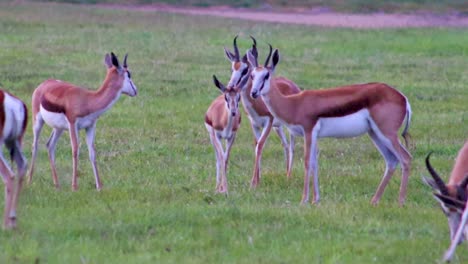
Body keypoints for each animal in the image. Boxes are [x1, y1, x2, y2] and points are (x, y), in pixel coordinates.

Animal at [27, 52, 137, 191]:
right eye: (129, 74)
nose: (135, 91)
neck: (88, 100)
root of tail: (44, 84)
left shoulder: (90, 127)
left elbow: (92, 153)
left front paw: (99, 186)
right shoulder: (73, 125)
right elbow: (75, 150)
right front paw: (74, 186)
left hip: (58, 128)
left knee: (50, 145)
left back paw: (57, 185)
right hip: (38, 122)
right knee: (35, 146)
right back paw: (29, 180)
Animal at [224, 35, 300, 188]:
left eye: (245, 70)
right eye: (232, 68)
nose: (230, 87)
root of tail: (292, 84)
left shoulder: (268, 123)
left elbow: (260, 146)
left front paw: (254, 182)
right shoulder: (254, 124)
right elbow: (256, 146)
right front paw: (257, 180)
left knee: (292, 146)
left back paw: (289, 176)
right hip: (278, 127)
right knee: (285, 144)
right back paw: (285, 174)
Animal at [247, 43, 412, 205]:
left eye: (266, 75)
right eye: (252, 75)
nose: (254, 93)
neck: (294, 103)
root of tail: (403, 98)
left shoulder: (309, 131)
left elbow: (307, 162)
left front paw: (304, 199)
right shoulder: (314, 136)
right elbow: (315, 163)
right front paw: (316, 199)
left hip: (387, 134)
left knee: (406, 158)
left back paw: (400, 202)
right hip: (375, 133)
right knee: (391, 161)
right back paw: (374, 201)